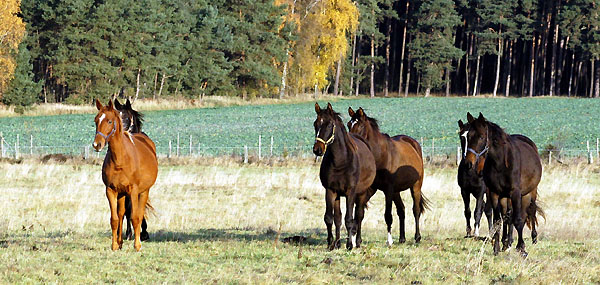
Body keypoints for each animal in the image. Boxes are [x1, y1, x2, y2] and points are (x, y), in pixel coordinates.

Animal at [314, 102, 376, 248]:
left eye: (329, 125)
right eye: (315, 124)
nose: (317, 150)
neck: (340, 162)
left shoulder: (350, 192)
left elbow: (349, 219)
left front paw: (349, 245)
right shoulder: (330, 190)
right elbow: (330, 218)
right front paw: (331, 244)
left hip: (361, 193)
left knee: (359, 215)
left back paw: (357, 242)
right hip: (338, 195)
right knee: (338, 217)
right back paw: (338, 243)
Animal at [344, 106, 428, 244]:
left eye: (360, 125)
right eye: (348, 124)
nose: (351, 142)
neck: (381, 156)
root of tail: (414, 144)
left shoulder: (388, 190)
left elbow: (387, 215)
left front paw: (389, 241)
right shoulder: (370, 189)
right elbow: (359, 213)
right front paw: (357, 239)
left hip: (415, 186)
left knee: (416, 210)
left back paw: (417, 237)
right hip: (396, 191)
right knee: (401, 210)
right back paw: (402, 238)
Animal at [464, 111, 544, 255]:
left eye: (481, 137)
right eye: (468, 136)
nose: (469, 163)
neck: (501, 164)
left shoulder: (515, 193)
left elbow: (518, 219)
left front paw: (522, 248)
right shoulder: (494, 193)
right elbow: (497, 221)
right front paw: (496, 248)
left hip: (530, 193)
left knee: (530, 212)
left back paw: (532, 238)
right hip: (505, 197)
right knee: (508, 216)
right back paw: (506, 243)